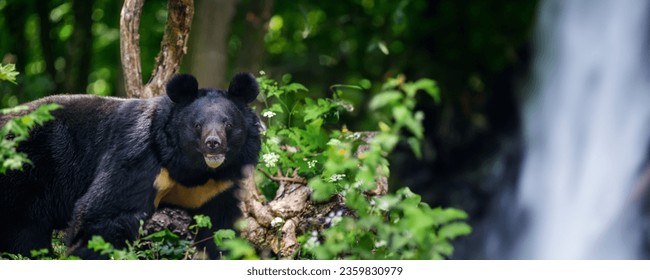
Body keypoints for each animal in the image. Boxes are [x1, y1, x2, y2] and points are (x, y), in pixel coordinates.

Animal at [0, 72, 260, 258]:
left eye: (228, 124)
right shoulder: (139, 156)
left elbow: (221, 229)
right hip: (26, 170)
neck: (194, 170)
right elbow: (106, 214)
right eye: (197, 125)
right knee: (24, 230)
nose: (213, 144)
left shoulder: (218, 186)